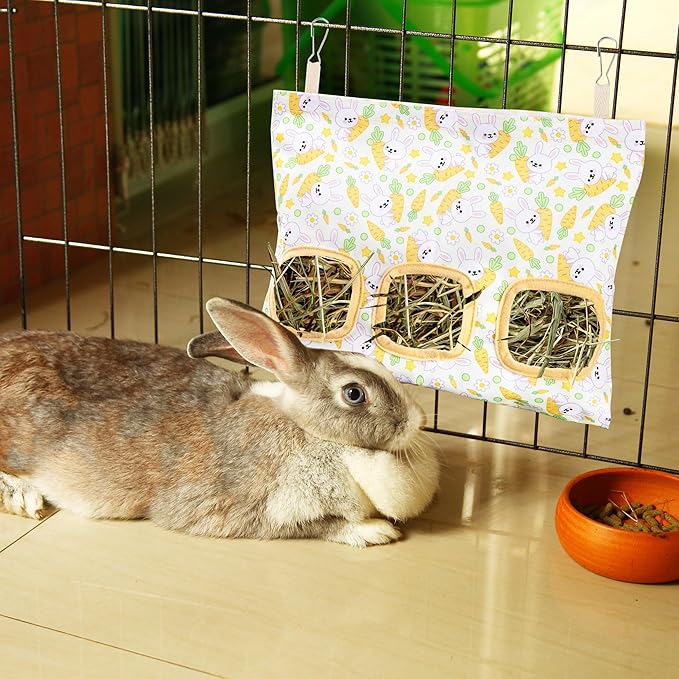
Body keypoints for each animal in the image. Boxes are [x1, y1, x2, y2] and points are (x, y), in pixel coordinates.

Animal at [0, 298, 440, 547]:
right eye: (354, 394)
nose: (418, 422)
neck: (306, 430)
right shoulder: (254, 512)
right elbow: (321, 527)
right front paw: (376, 531)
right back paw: (23, 496)